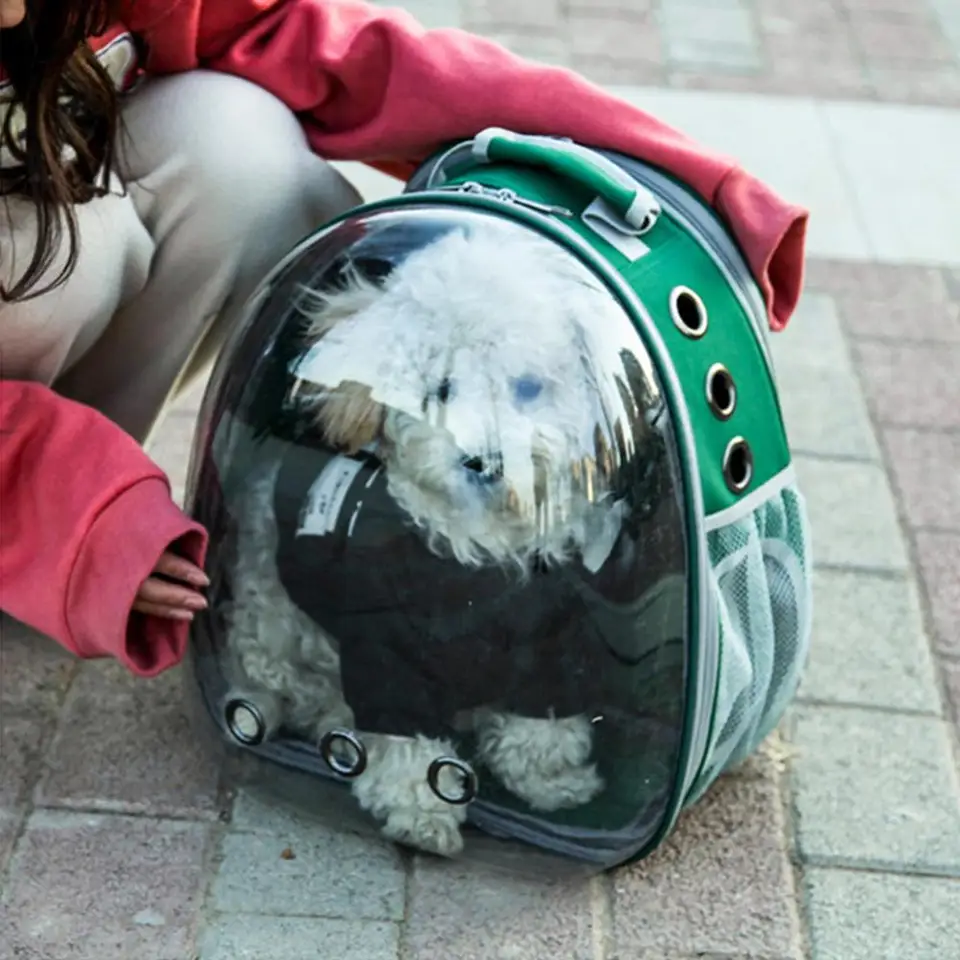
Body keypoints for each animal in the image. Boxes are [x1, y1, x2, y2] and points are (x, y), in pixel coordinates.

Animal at [218, 218, 636, 856]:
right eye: (440, 389)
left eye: (528, 388)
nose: (484, 461)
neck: (479, 554)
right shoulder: (386, 655)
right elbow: (405, 741)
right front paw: (420, 808)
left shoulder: (545, 642)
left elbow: (538, 722)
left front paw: (549, 779)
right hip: (272, 619)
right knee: (281, 677)